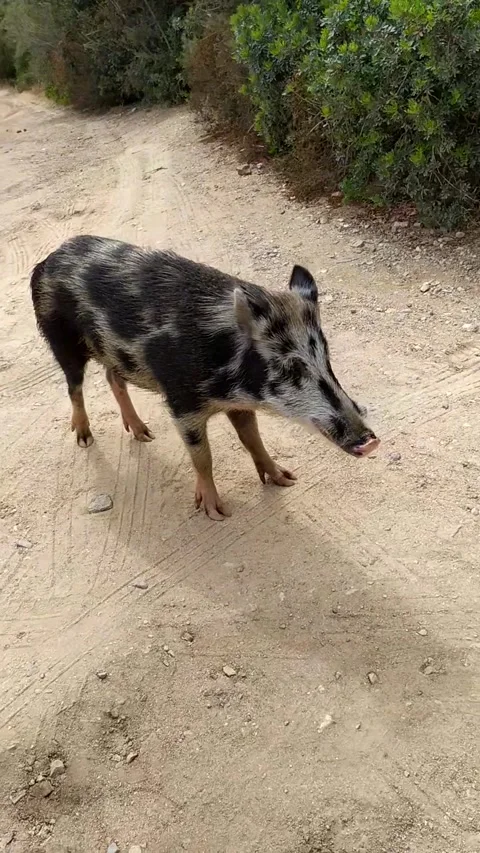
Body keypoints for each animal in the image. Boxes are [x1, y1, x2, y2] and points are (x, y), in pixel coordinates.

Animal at [30, 235, 379, 520]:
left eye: (326, 358)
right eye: (290, 367)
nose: (370, 440)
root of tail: (49, 259)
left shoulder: (239, 405)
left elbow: (252, 439)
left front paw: (286, 478)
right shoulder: (181, 402)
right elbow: (202, 455)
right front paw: (216, 512)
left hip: (113, 352)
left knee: (112, 377)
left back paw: (144, 434)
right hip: (60, 339)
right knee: (74, 386)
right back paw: (85, 438)